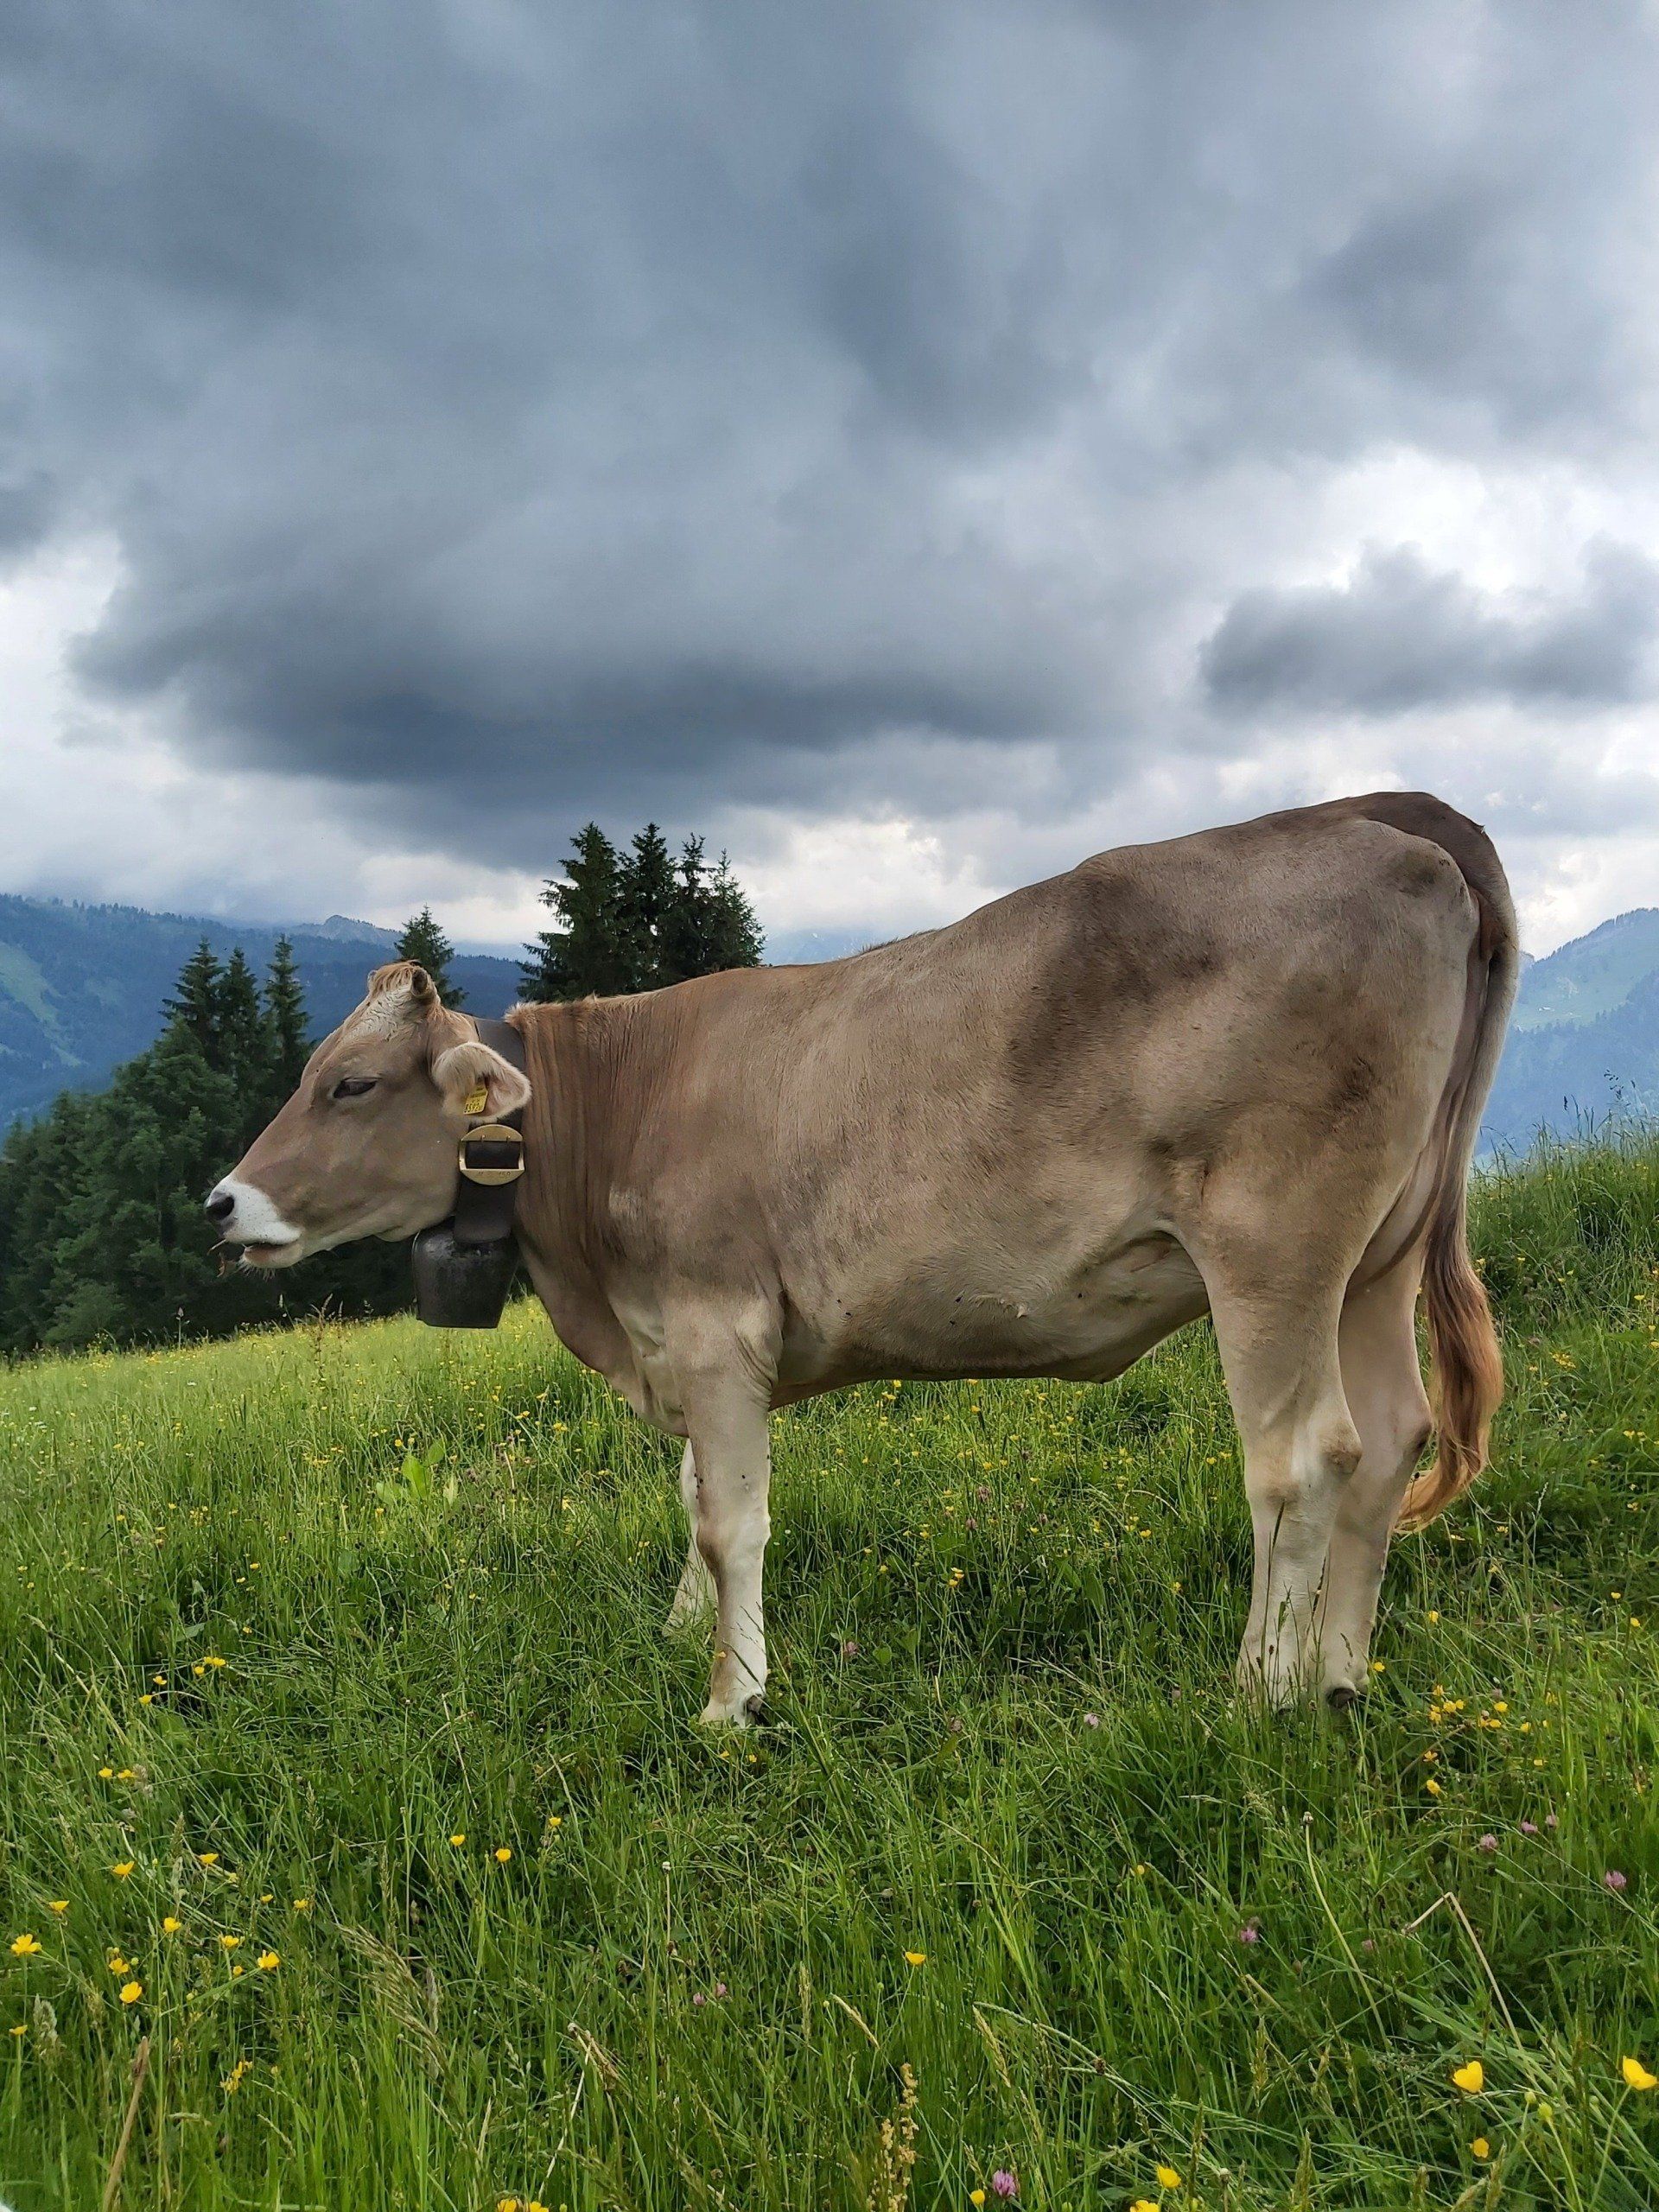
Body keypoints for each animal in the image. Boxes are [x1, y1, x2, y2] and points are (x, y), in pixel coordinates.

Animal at [207, 792, 1518, 1725]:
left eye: (350, 1083)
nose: (222, 1202)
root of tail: (1384, 814)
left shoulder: (715, 1324)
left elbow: (731, 1520)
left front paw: (731, 1701)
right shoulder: (689, 1342)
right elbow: (692, 1498)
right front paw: (686, 1635)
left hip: (1274, 1242)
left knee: (1302, 1459)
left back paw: (1259, 1696)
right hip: (1377, 1253)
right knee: (1392, 1437)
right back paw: (1341, 1676)